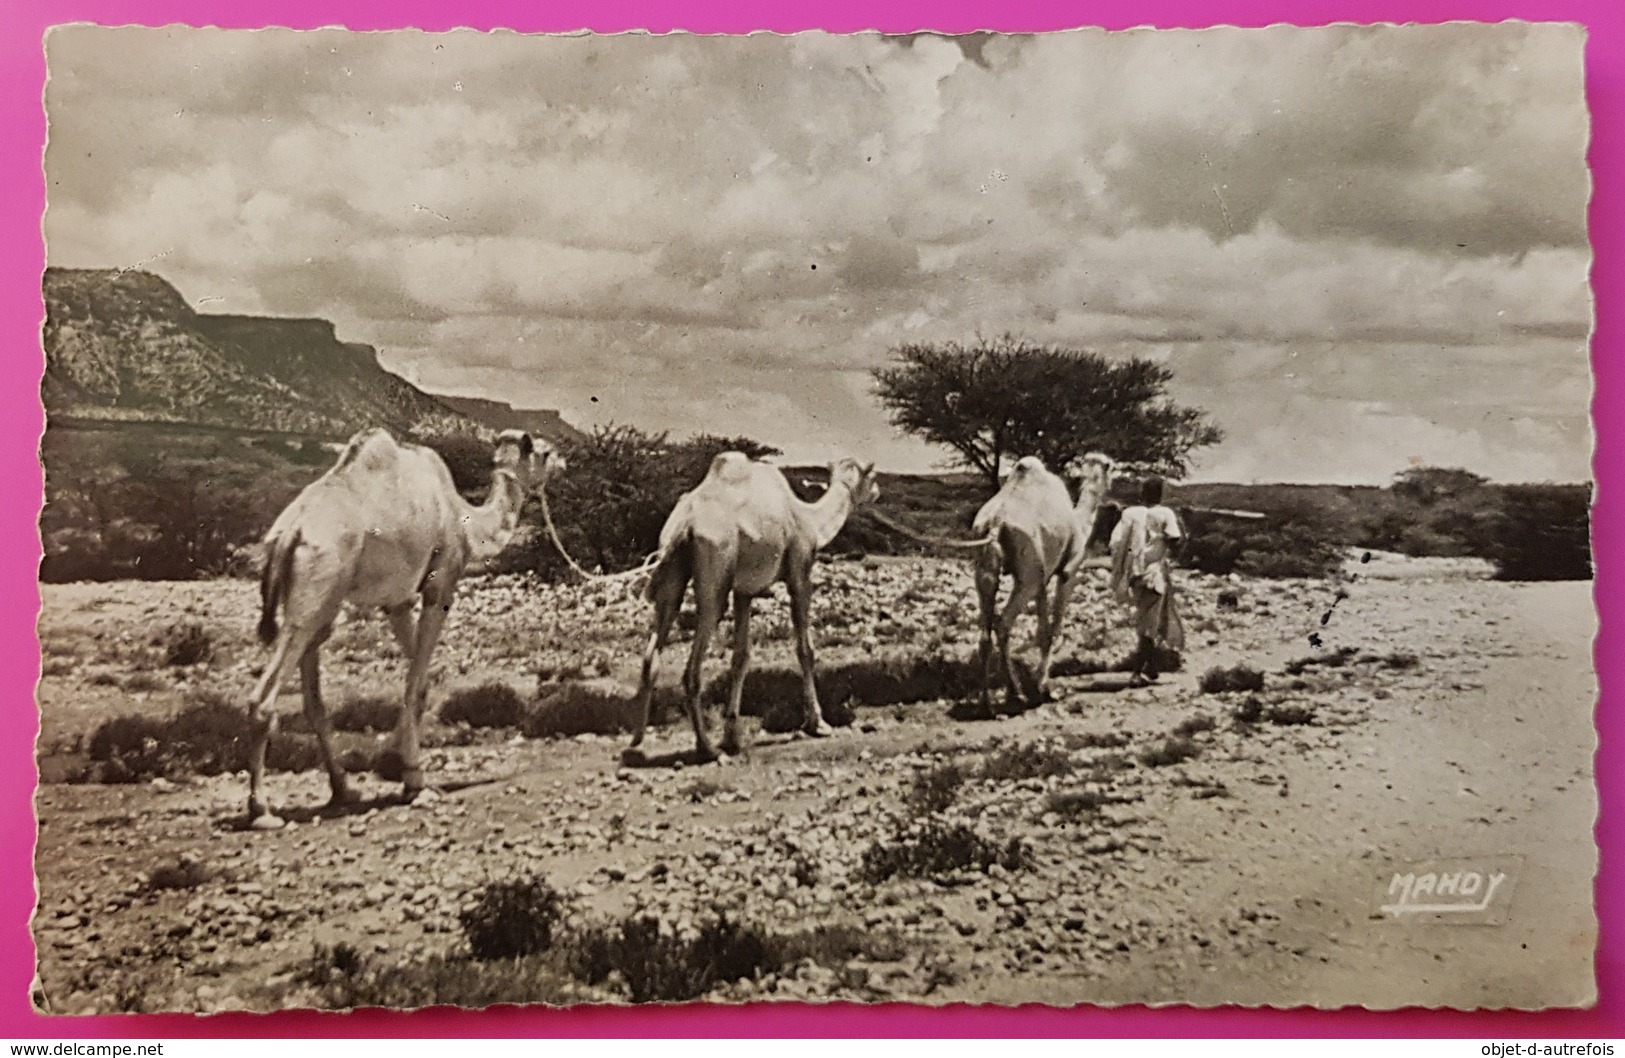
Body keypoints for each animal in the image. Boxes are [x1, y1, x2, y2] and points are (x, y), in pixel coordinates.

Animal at [247, 429, 562, 828]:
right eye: (544, 452)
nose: (565, 461)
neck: (464, 518)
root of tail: (290, 532)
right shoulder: (439, 585)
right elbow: (414, 683)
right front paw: (414, 779)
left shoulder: (395, 602)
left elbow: (421, 683)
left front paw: (394, 763)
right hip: (315, 590)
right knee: (265, 696)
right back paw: (262, 810)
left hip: (322, 599)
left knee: (313, 699)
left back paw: (343, 790)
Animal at [627, 451, 884, 760]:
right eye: (872, 476)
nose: (878, 492)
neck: (809, 519)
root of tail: (685, 523)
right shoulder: (799, 572)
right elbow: (805, 650)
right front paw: (818, 723)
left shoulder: (743, 592)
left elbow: (741, 658)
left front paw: (732, 736)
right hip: (716, 571)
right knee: (692, 667)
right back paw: (706, 748)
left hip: (672, 574)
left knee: (652, 652)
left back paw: (637, 741)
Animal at [968, 451, 1111, 711]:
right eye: (1110, 466)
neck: (1079, 522)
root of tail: (995, 523)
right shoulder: (1067, 572)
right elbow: (1052, 629)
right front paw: (1042, 686)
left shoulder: (1044, 576)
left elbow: (1042, 630)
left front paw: (1039, 682)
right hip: (1028, 574)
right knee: (1003, 623)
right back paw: (1016, 693)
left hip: (985, 564)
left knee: (985, 628)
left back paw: (986, 701)